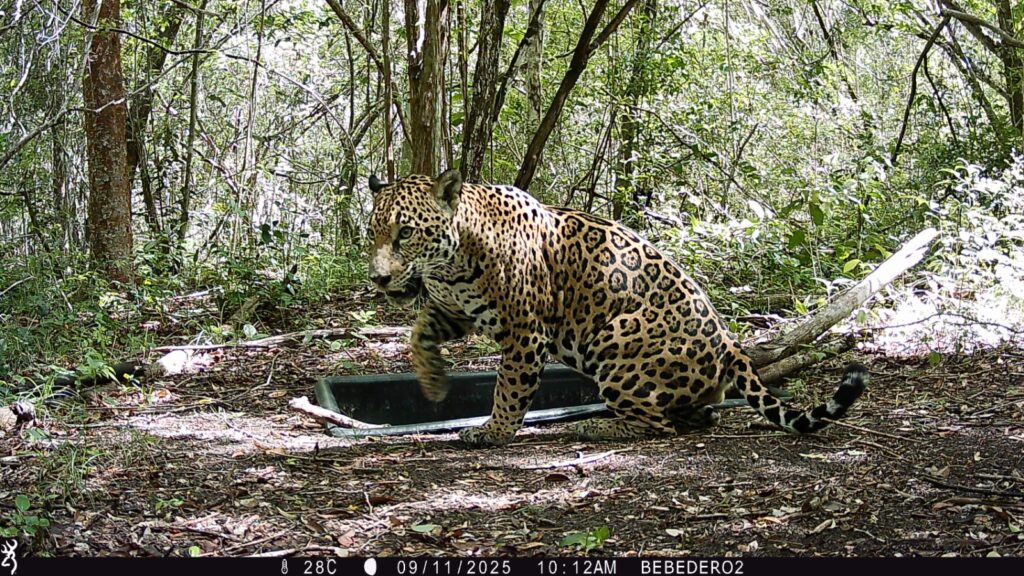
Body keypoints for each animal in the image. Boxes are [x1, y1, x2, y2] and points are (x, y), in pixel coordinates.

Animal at [367, 170, 867, 446]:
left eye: (405, 233)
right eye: (373, 232)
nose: (379, 278)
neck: (451, 262)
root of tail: (730, 344)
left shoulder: (525, 332)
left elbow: (508, 388)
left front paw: (493, 433)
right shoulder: (454, 308)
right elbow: (418, 333)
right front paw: (433, 382)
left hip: (615, 342)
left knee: (658, 425)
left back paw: (596, 428)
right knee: (698, 414)